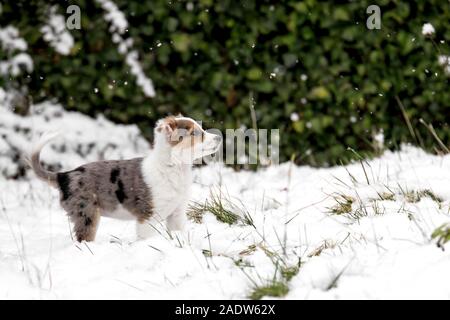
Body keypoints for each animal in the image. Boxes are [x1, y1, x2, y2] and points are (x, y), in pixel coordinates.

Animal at [29, 116, 221, 241]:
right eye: (195, 133)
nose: (219, 137)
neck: (173, 167)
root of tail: (64, 175)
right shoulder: (147, 217)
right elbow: (146, 238)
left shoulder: (177, 213)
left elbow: (179, 233)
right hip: (87, 214)